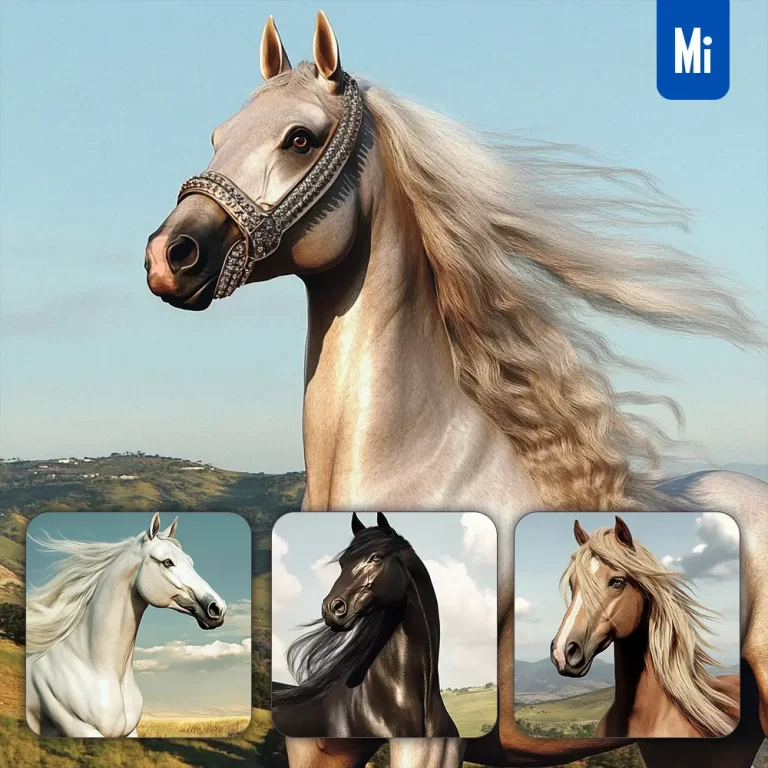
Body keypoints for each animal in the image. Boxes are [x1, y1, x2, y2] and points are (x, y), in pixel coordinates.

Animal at [25, 513, 228, 738]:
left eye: (190, 562)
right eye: (167, 562)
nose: (218, 608)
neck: (96, 667)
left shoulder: (130, 732)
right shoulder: (82, 730)